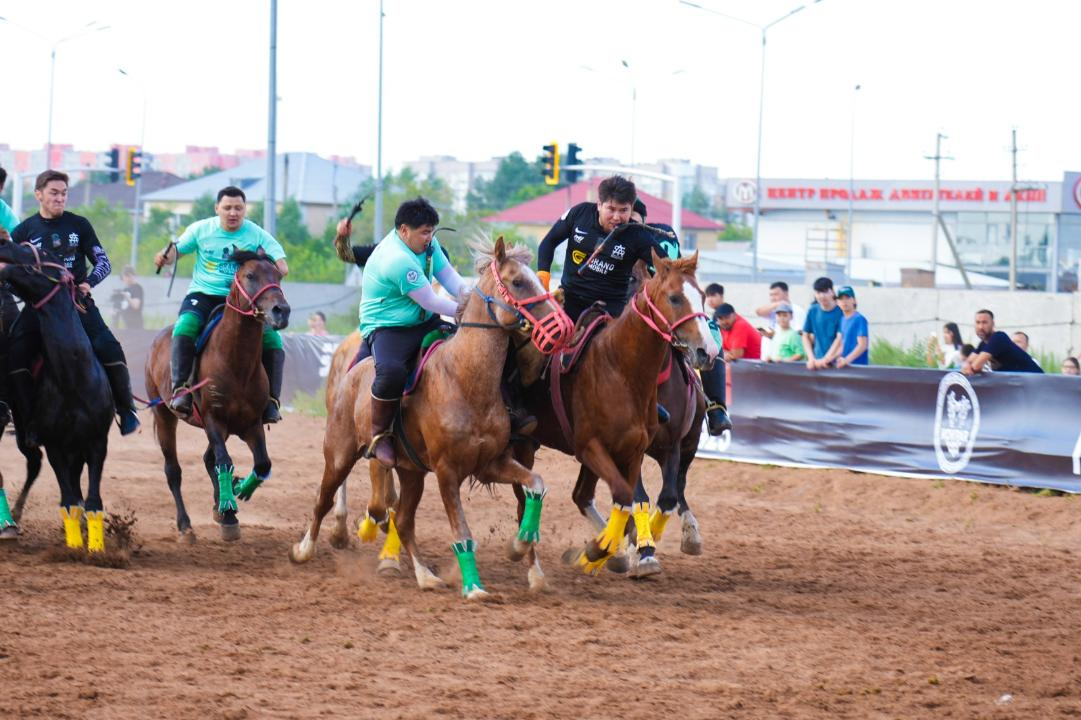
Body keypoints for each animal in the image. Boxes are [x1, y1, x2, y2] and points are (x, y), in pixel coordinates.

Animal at [0, 237, 114, 547]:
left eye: (41, 251)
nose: (3, 243)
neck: (74, 379)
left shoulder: (97, 442)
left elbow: (94, 502)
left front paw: (95, 548)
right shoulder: (55, 445)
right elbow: (69, 502)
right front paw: (73, 546)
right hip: (30, 436)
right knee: (35, 464)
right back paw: (15, 515)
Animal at [148, 250, 294, 538]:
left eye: (278, 275)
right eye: (250, 275)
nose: (281, 311)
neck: (236, 363)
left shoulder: (251, 424)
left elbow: (262, 464)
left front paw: (236, 493)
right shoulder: (213, 419)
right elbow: (224, 461)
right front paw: (228, 508)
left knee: (208, 459)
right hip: (164, 414)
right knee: (174, 470)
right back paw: (186, 525)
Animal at [287, 237, 575, 596]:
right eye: (518, 282)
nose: (563, 326)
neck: (464, 379)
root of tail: (352, 371)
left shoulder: (490, 463)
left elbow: (536, 485)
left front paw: (519, 545)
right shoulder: (447, 471)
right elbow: (462, 532)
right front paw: (474, 587)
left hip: (412, 473)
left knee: (403, 520)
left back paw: (425, 575)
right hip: (340, 454)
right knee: (323, 499)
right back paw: (304, 550)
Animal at [505, 249, 717, 575]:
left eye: (703, 296)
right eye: (674, 298)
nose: (707, 351)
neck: (620, 369)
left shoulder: (657, 447)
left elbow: (664, 497)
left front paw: (631, 544)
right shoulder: (592, 446)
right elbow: (632, 497)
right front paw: (630, 549)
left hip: (687, 444)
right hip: (526, 443)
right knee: (527, 492)